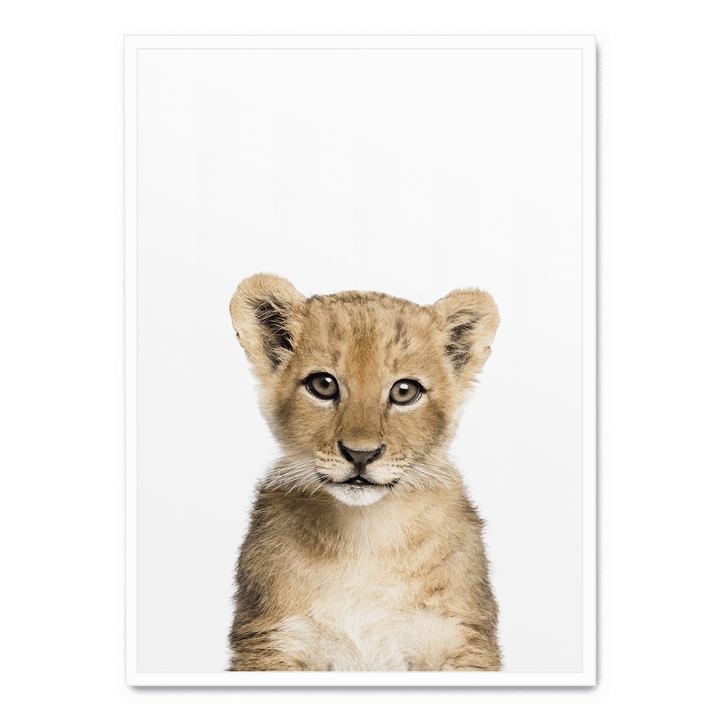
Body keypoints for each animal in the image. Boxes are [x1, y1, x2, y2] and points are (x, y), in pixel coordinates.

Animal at [227, 273, 502, 671]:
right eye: (323, 385)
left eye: (405, 391)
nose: (361, 454)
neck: (365, 536)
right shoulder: (273, 640)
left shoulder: (459, 638)